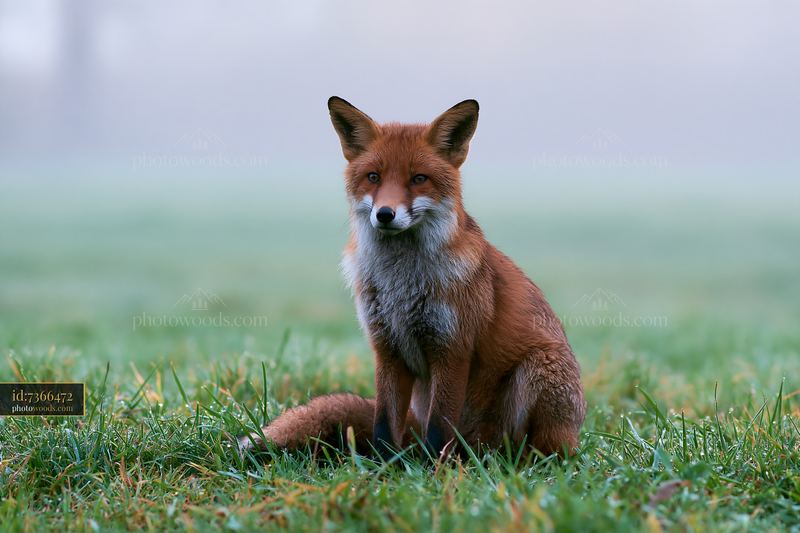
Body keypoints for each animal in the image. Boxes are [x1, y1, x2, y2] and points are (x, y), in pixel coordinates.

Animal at [240, 97, 586, 459]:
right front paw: (382, 466)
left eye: (419, 178)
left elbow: (439, 429)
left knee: (540, 450)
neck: (400, 285)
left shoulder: (452, 348)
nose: (385, 214)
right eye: (373, 177)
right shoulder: (386, 348)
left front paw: (435, 469)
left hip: (538, 372)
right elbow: (382, 424)